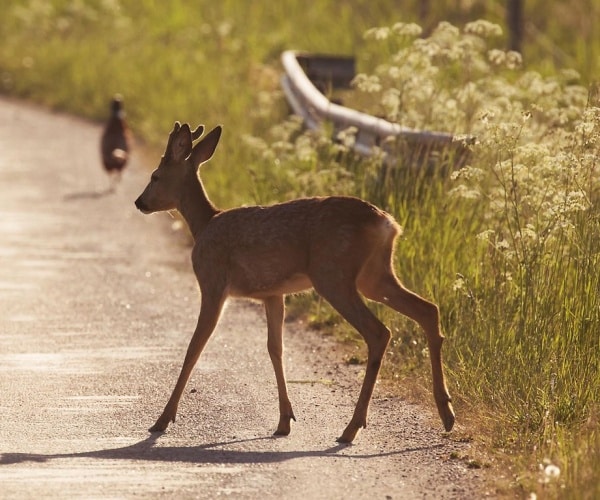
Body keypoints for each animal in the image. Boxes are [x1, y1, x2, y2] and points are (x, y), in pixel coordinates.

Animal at [135, 122, 454, 442]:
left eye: (155, 176)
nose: (139, 202)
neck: (203, 225)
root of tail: (387, 224)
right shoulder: (273, 294)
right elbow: (275, 348)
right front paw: (284, 420)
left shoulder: (212, 280)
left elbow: (195, 346)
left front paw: (162, 419)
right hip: (375, 275)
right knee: (428, 309)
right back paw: (446, 412)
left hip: (333, 274)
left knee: (379, 332)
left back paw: (352, 427)